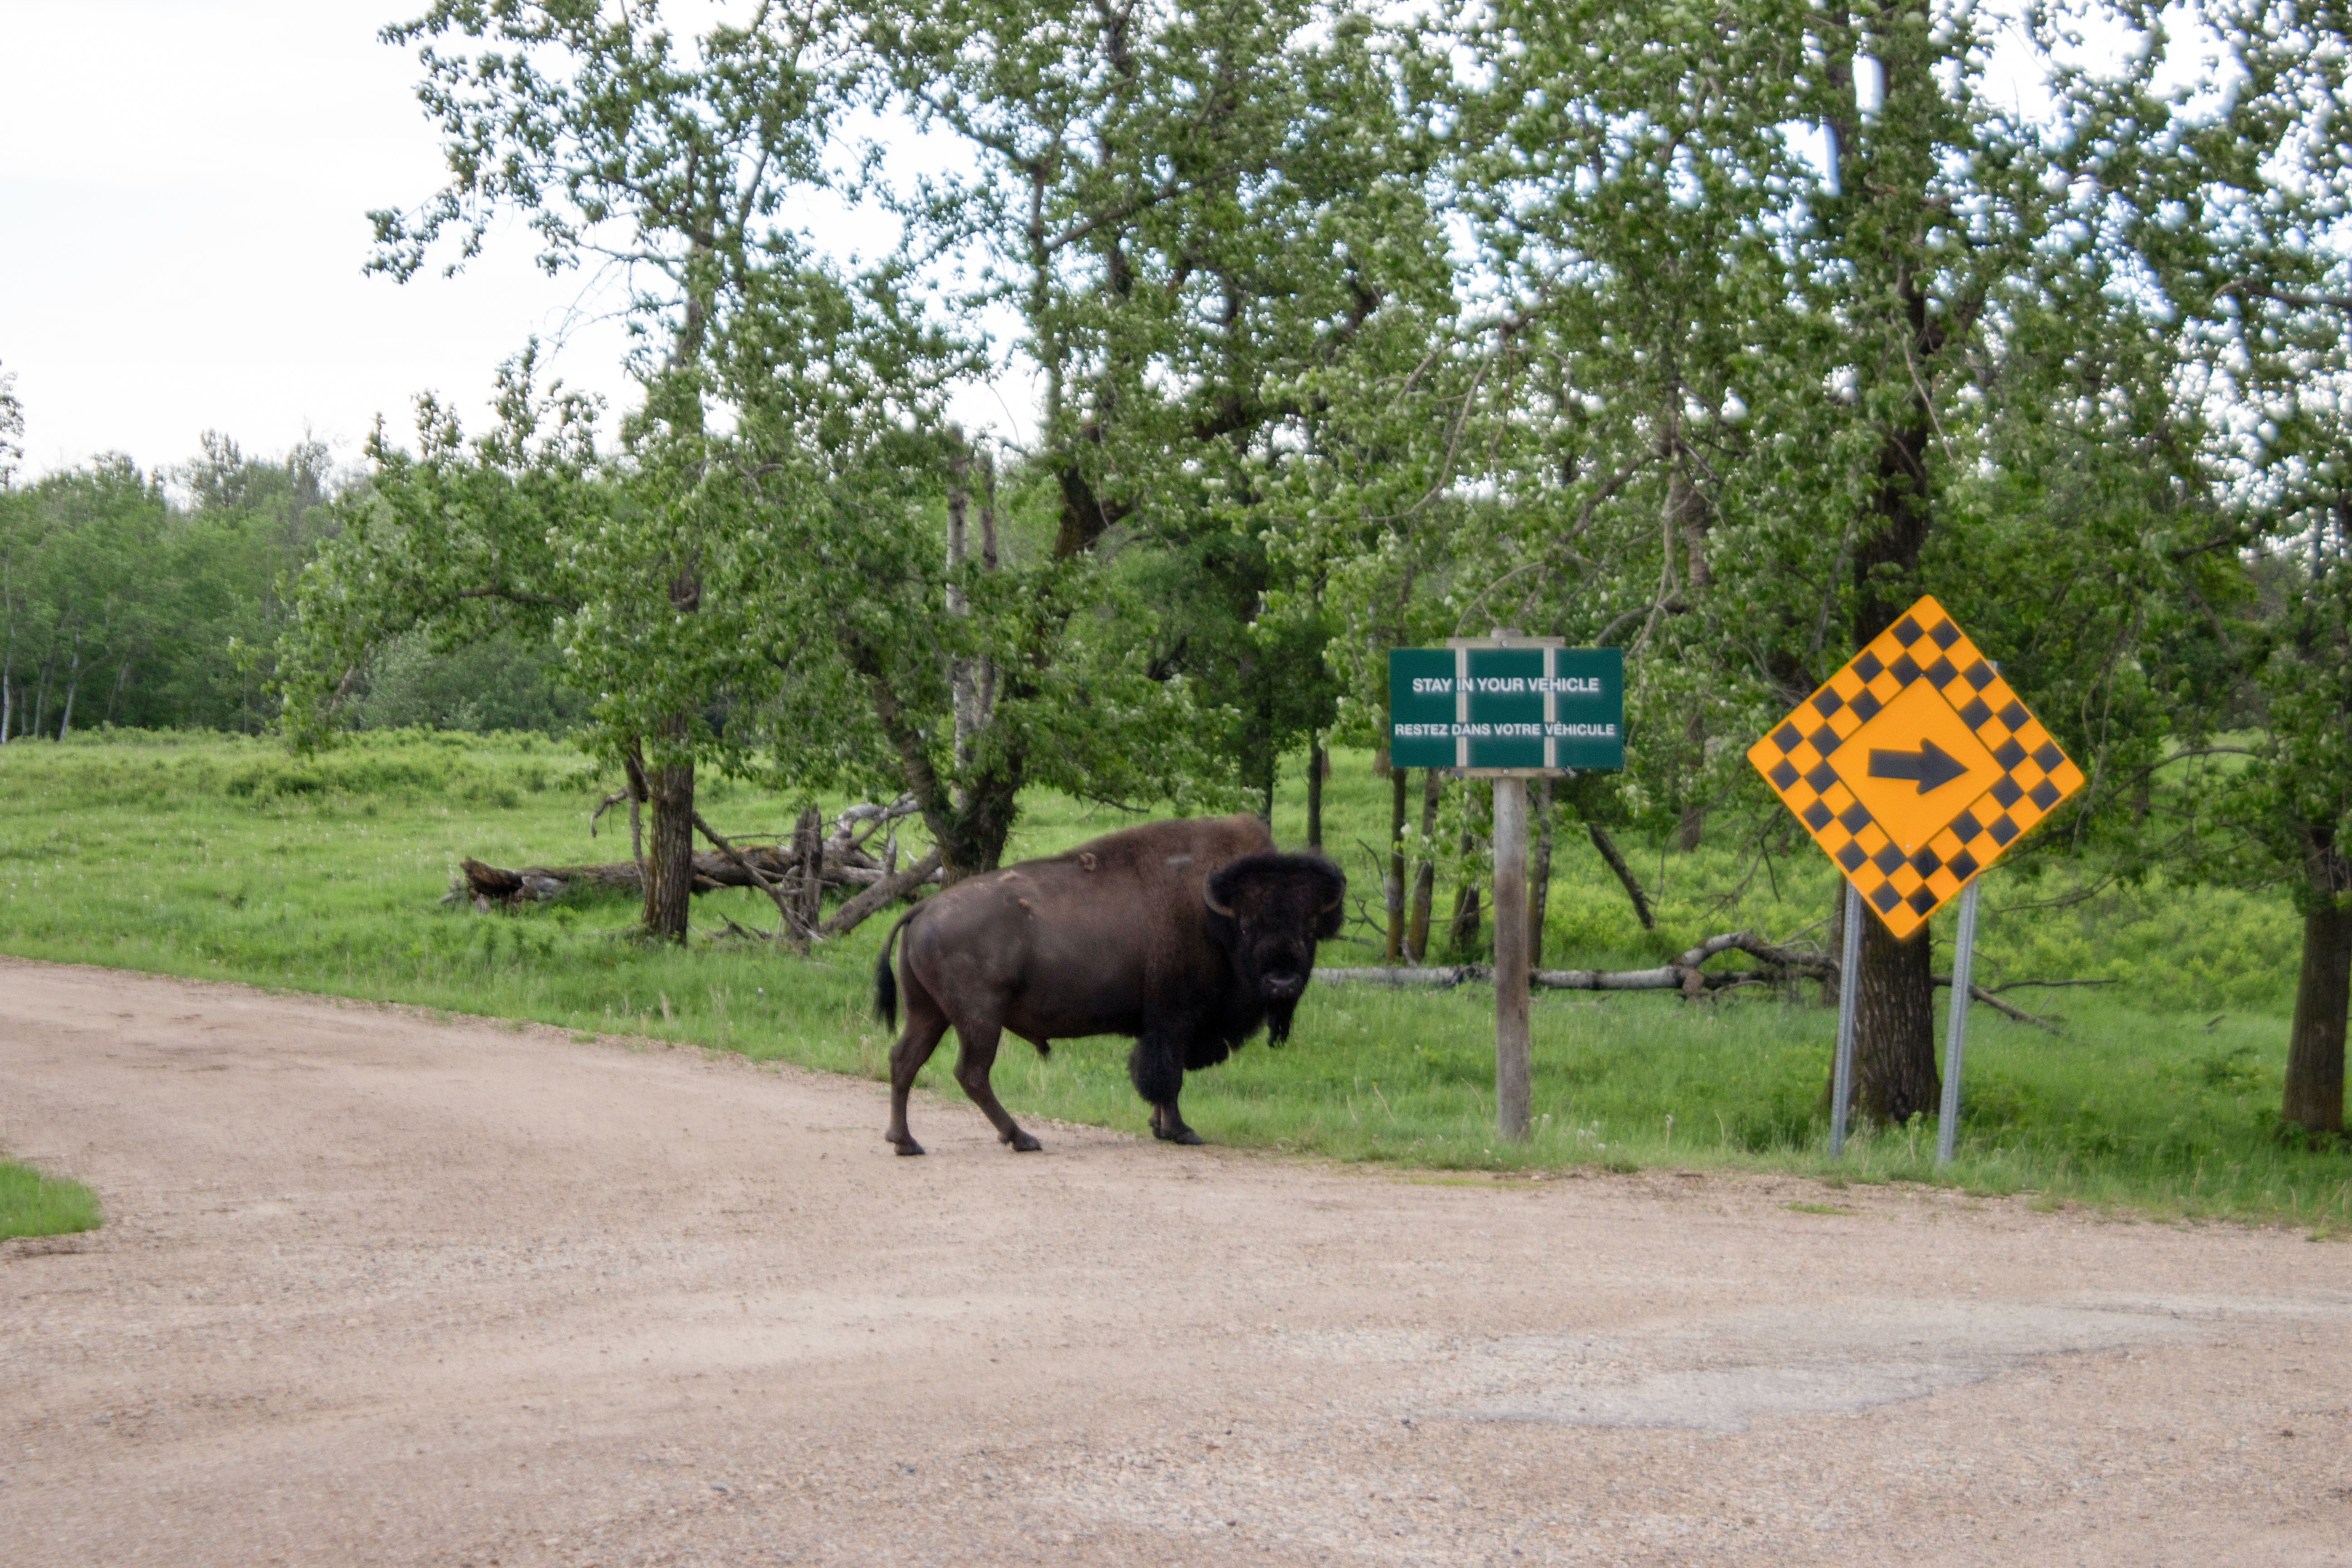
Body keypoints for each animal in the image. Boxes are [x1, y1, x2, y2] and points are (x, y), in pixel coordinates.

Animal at [873, 814, 1345, 1154]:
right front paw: (1181, 1131)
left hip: (929, 1013)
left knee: (904, 1061)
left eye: (1309, 926)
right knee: (970, 1073)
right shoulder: (1175, 1021)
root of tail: (923, 908)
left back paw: (906, 1142)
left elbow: (1157, 1076)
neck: (1214, 915)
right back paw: (1022, 1139)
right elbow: (1166, 1076)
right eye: (1248, 926)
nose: (1282, 982)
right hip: (979, 1019)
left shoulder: (1163, 1026)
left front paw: (1160, 1127)